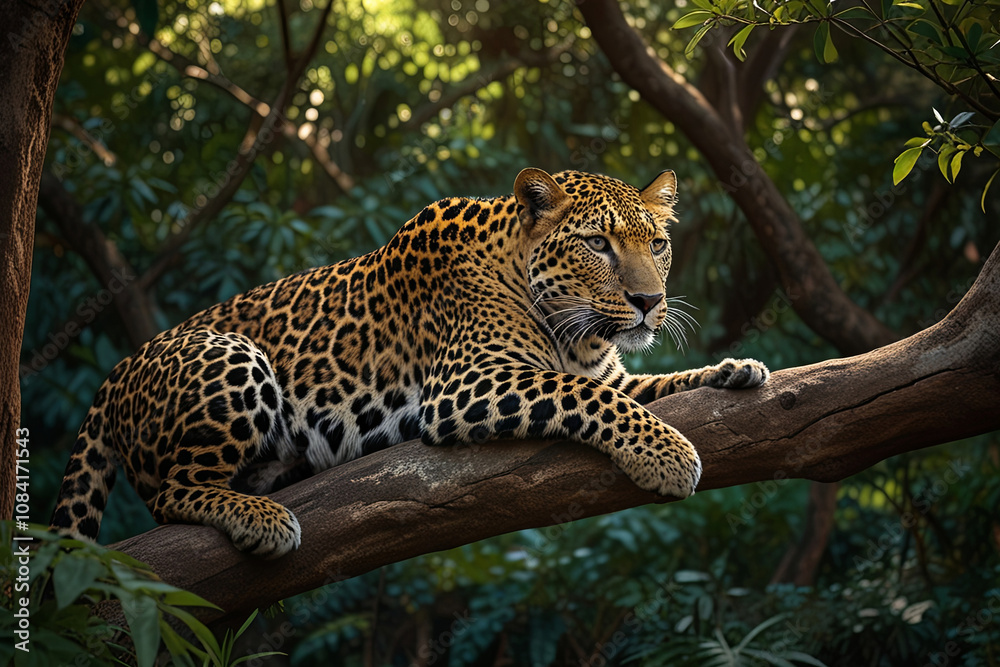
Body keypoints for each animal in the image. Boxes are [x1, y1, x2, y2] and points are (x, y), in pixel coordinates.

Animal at [50, 168, 769, 559]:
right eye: (597, 244)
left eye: (658, 244)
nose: (650, 303)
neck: (580, 338)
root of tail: (117, 371)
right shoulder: (465, 385)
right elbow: (590, 397)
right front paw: (667, 456)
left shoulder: (614, 371)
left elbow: (652, 385)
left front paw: (738, 369)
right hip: (230, 352)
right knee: (171, 492)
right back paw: (264, 520)